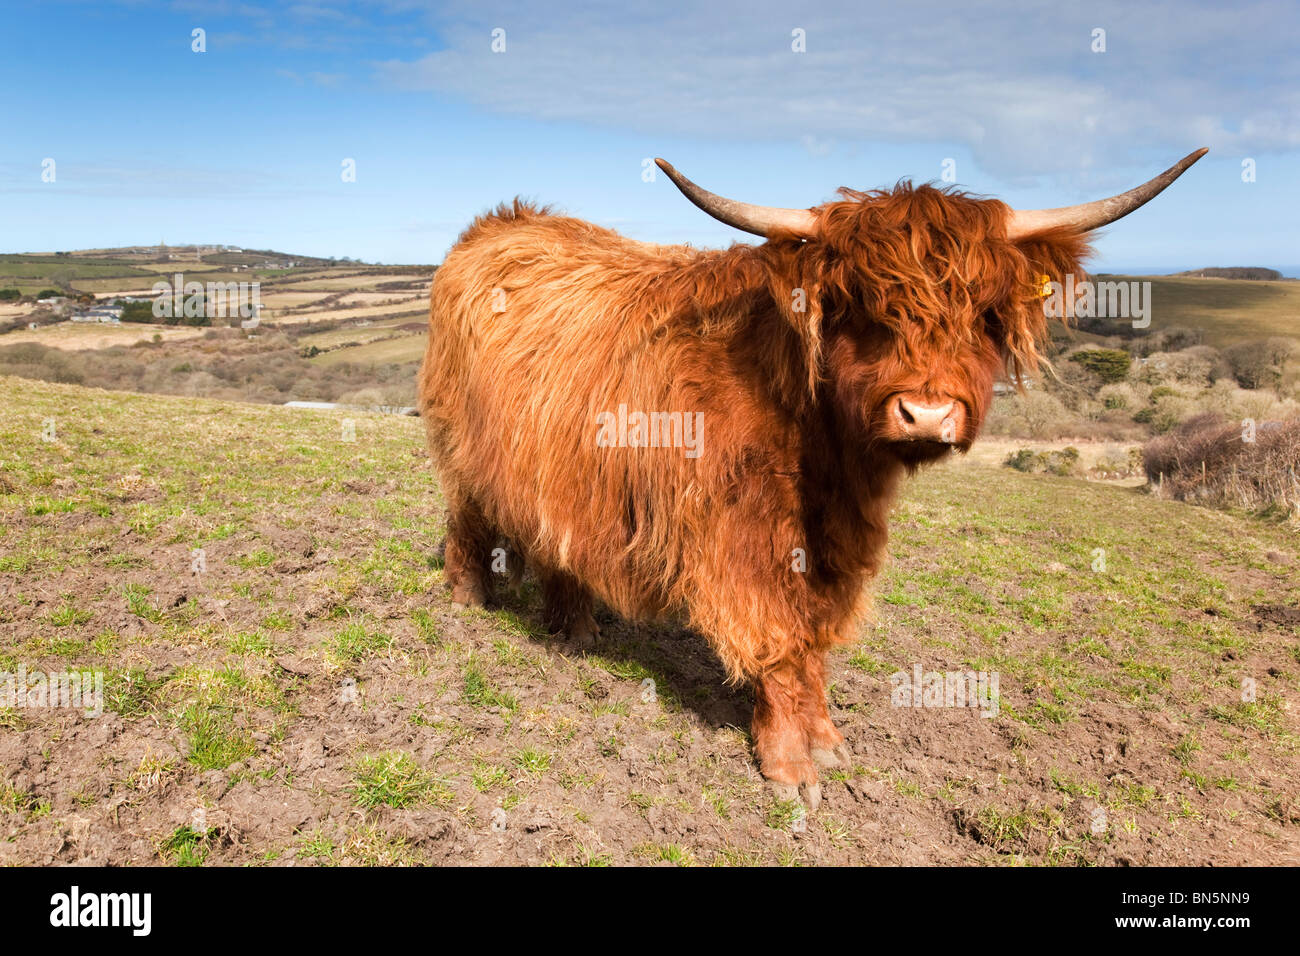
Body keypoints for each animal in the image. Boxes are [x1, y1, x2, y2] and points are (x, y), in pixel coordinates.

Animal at [418, 147, 1206, 806]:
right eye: (865, 307)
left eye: (982, 315)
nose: (926, 414)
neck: (826, 452)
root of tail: (503, 222)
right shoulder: (741, 537)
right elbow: (779, 636)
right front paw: (790, 764)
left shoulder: (837, 540)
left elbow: (817, 635)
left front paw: (827, 739)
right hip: (461, 443)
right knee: (466, 516)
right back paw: (468, 598)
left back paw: (574, 628)